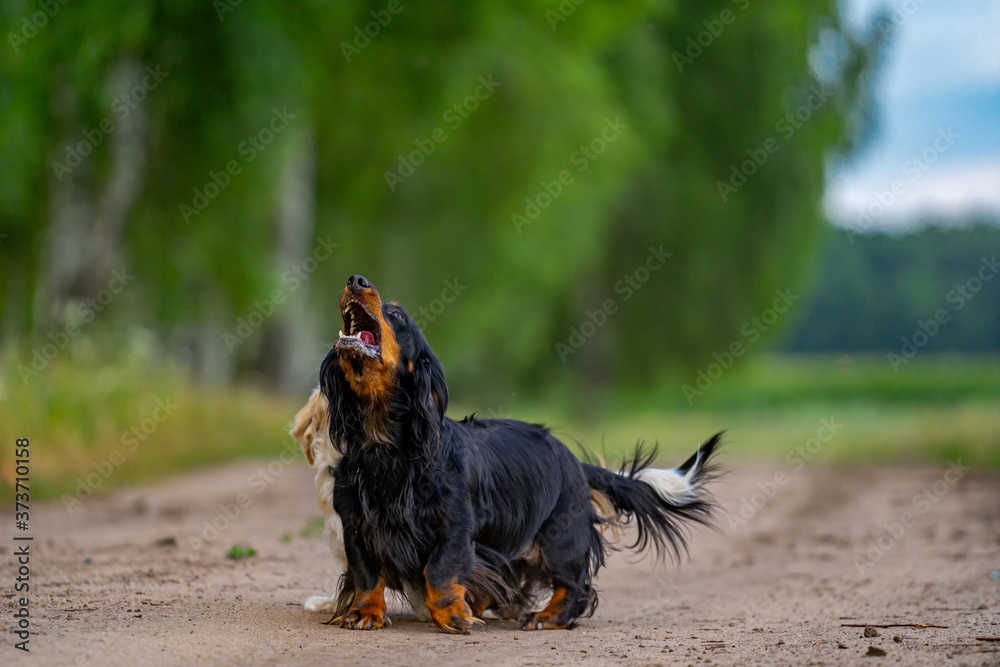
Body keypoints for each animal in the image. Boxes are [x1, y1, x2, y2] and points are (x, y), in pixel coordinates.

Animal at [320, 274, 720, 636]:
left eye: (397, 315)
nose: (356, 280)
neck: (383, 448)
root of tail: (574, 461)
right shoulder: (356, 525)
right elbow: (367, 574)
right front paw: (364, 612)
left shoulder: (455, 525)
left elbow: (440, 570)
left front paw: (453, 615)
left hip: (560, 538)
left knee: (575, 586)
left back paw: (546, 617)